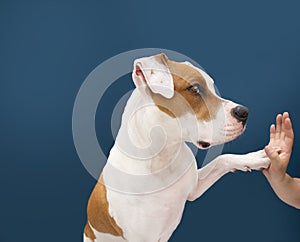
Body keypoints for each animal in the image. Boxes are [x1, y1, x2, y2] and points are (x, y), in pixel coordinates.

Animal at [82, 54, 270, 241]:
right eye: (195, 88)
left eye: (211, 86)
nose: (244, 112)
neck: (164, 156)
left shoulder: (194, 188)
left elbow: (221, 159)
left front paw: (254, 158)